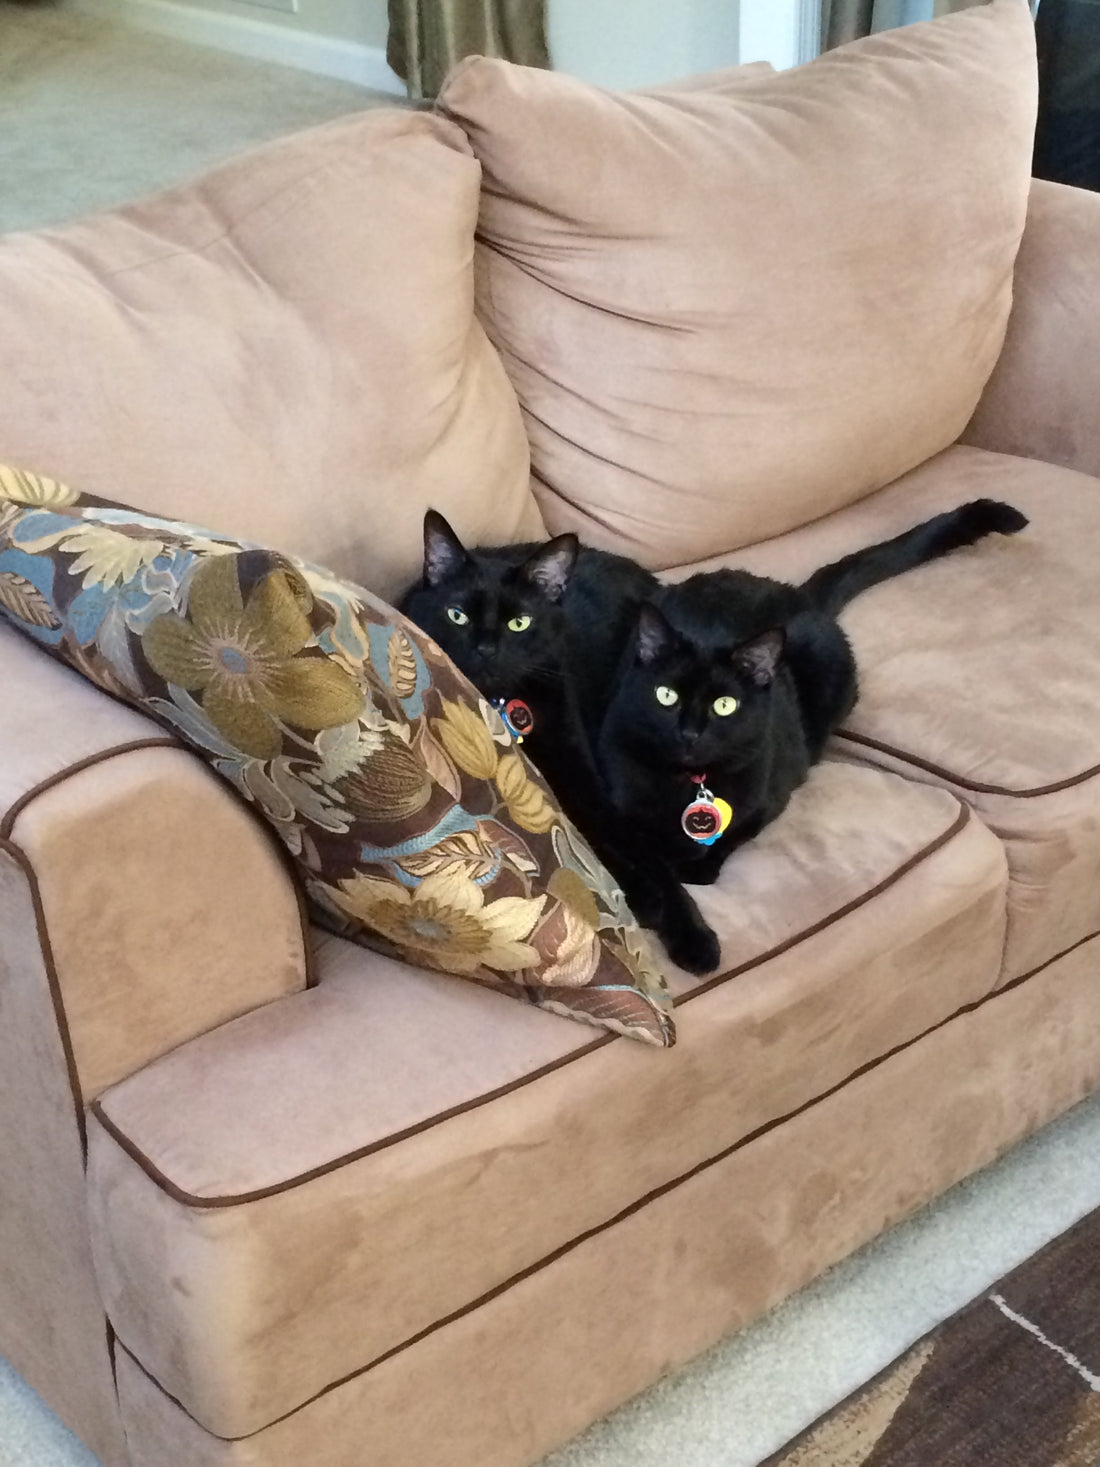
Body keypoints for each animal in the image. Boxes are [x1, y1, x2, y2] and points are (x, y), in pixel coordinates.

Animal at [401, 501, 1032, 974]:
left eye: (519, 623)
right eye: (457, 616)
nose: (485, 650)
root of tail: (796, 595)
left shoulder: (592, 789)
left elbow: (645, 861)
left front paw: (688, 934)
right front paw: (648, 902)